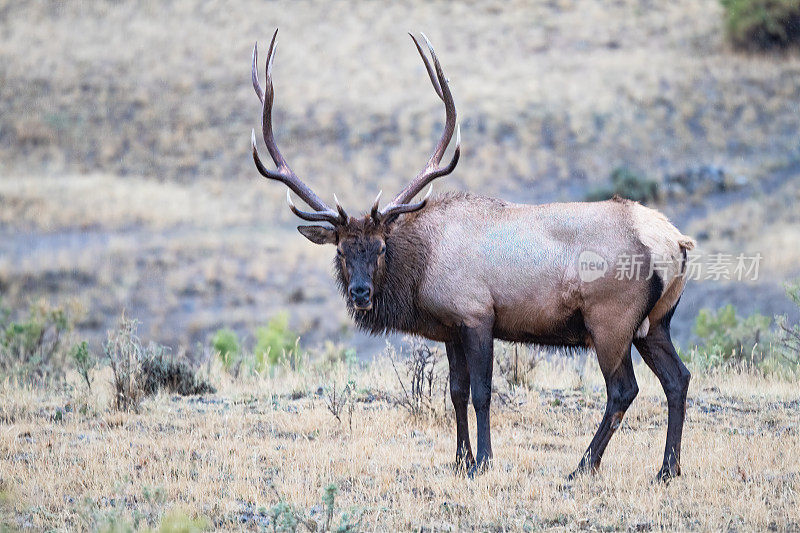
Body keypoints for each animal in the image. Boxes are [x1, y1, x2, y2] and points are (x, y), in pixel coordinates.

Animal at [250, 29, 692, 480]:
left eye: (380, 247)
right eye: (341, 250)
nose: (360, 293)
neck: (422, 270)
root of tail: (675, 242)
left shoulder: (477, 314)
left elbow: (482, 392)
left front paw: (483, 460)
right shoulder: (450, 328)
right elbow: (456, 391)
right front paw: (460, 459)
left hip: (610, 320)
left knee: (623, 389)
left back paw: (584, 465)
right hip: (655, 323)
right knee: (678, 378)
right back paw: (667, 469)